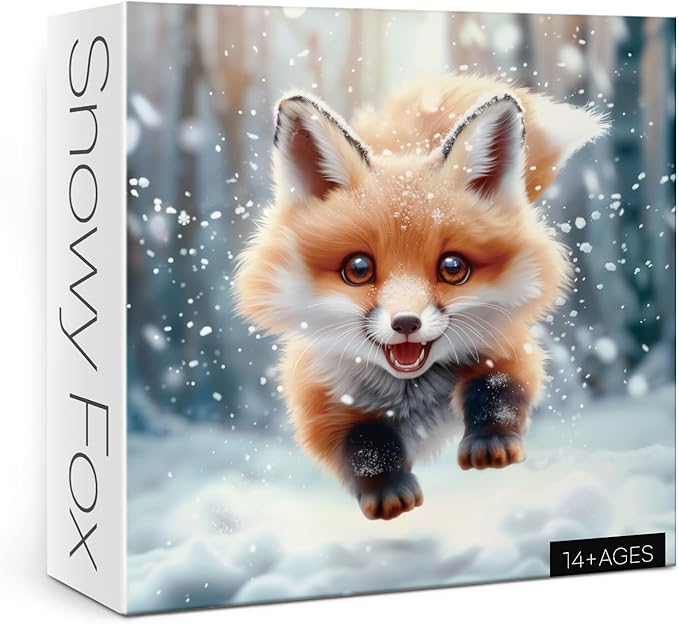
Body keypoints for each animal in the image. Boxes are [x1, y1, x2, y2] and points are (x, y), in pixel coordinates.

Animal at [235, 75, 608, 520]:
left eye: (453, 267)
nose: (406, 323)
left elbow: (498, 388)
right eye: (358, 269)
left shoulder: (508, 343)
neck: (410, 394)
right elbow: (364, 442)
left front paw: (491, 441)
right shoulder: (318, 398)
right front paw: (387, 490)